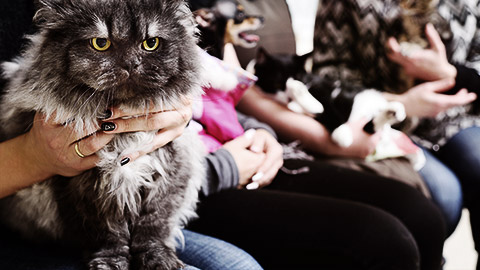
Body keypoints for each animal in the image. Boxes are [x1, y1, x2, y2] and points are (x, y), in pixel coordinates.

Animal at [0, 0, 204, 270]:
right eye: (100, 43)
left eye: (151, 43)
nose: (131, 64)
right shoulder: (85, 186)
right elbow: (107, 233)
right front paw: (109, 262)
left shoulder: (170, 173)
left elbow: (154, 227)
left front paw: (159, 258)